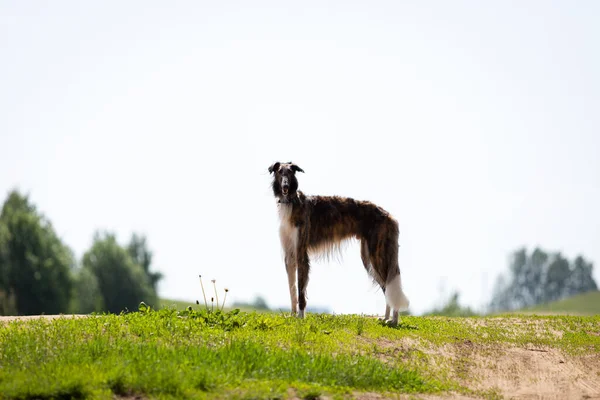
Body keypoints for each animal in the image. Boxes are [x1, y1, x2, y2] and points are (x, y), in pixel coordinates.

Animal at [270, 160, 410, 324]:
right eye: (280, 172)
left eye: (290, 172)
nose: (285, 187)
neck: (292, 202)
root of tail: (390, 217)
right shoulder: (289, 255)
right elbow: (292, 289)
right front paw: (292, 316)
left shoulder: (301, 253)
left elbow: (300, 290)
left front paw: (300, 316)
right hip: (369, 256)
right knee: (386, 287)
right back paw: (386, 318)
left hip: (377, 256)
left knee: (389, 285)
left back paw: (394, 321)